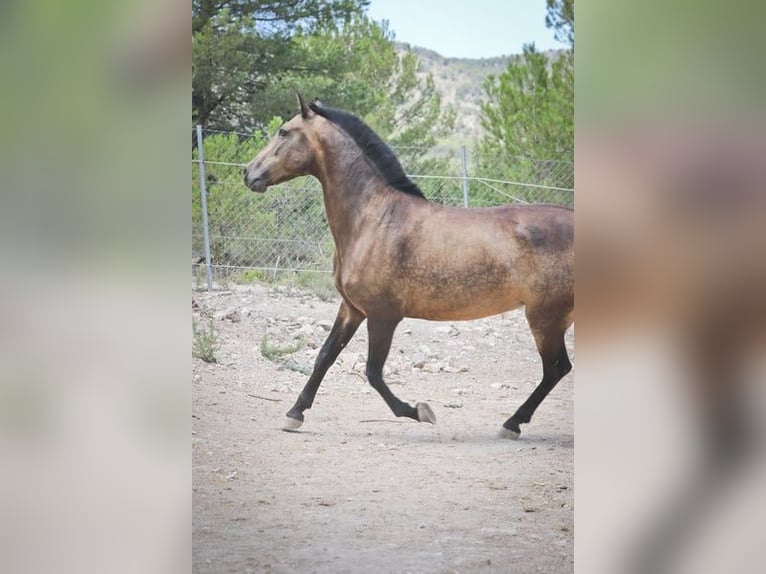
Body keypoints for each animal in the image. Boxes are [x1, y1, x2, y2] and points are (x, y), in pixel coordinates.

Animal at [243, 94, 572, 438]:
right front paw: (294, 414)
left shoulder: (383, 315)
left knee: (555, 369)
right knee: (558, 369)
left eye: (283, 131)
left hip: (545, 318)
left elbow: (373, 373)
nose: (248, 173)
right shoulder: (352, 308)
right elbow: (325, 356)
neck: (374, 219)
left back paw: (511, 423)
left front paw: (420, 411)